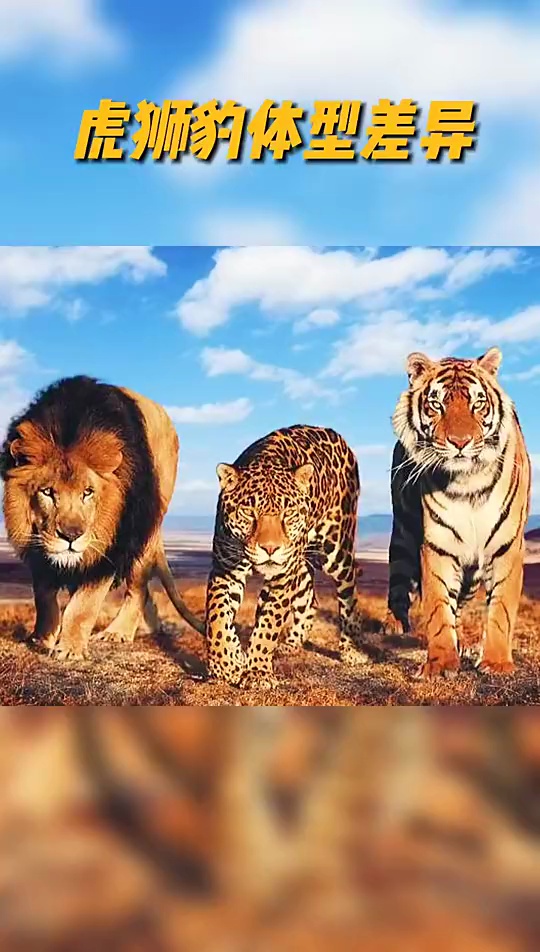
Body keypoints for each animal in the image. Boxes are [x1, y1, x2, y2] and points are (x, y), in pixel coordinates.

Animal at [205, 425, 366, 685]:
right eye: (248, 512)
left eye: (288, 512)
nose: (270, 549)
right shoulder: (225, 570)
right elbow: (217, 616)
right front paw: (226, 662)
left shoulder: (282, 578)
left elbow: (269, 624)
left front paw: (258, 672)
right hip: (300, 565)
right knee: (310, 601)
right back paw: (290, 644)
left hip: (336, 550)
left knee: (348, 592)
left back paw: (352, 649)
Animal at [386, 346, 530, 678]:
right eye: (436, 404)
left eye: (478, 403)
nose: (460, 443)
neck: (468, 483)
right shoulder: (437, 545)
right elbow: (439, 608)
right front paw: (440, 664)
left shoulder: (507, 547)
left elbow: (501, 609)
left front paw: (496, 663)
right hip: (403, 534)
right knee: (399, 581)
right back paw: (393, 625)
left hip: (472, 573)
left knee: (461, 604)